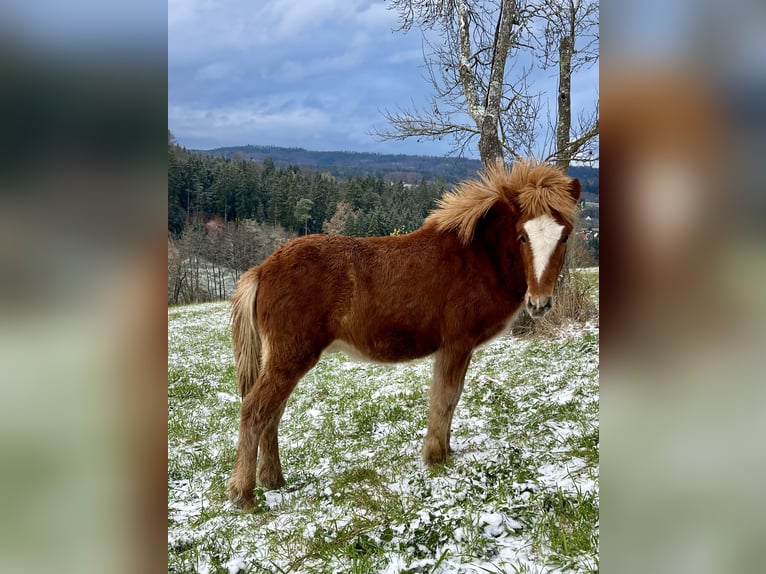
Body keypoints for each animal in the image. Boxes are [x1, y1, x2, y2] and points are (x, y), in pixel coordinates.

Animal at [228, 160, 584, 510]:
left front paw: (445, 452)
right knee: (255, 411)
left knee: (272, 414)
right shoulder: (457, 344)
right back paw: (243, 494)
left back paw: (273, 481)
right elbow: (445, 397)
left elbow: (451, 398)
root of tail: (262, 269)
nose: (539, 303)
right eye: (522, 236)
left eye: (565, 236)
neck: (477, 257)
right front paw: (436, 458)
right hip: (290, 357)